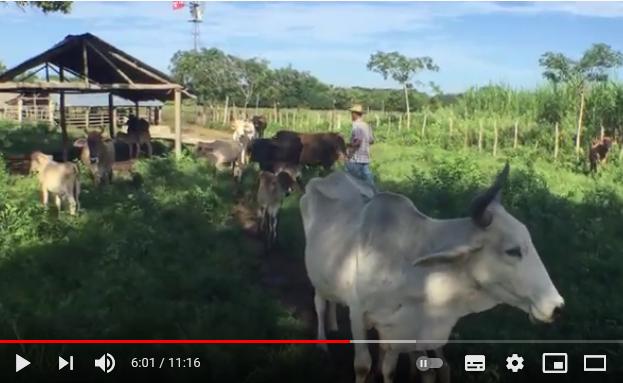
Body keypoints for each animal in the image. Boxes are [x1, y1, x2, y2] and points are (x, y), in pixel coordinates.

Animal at [302, 166, 564, 383]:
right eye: (513, 250)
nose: (557, 307)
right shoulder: (358, 314)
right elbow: (362, 366)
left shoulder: (398, 332)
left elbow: (389, 369)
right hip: (315, 275)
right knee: (319, 303)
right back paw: (323, 343)